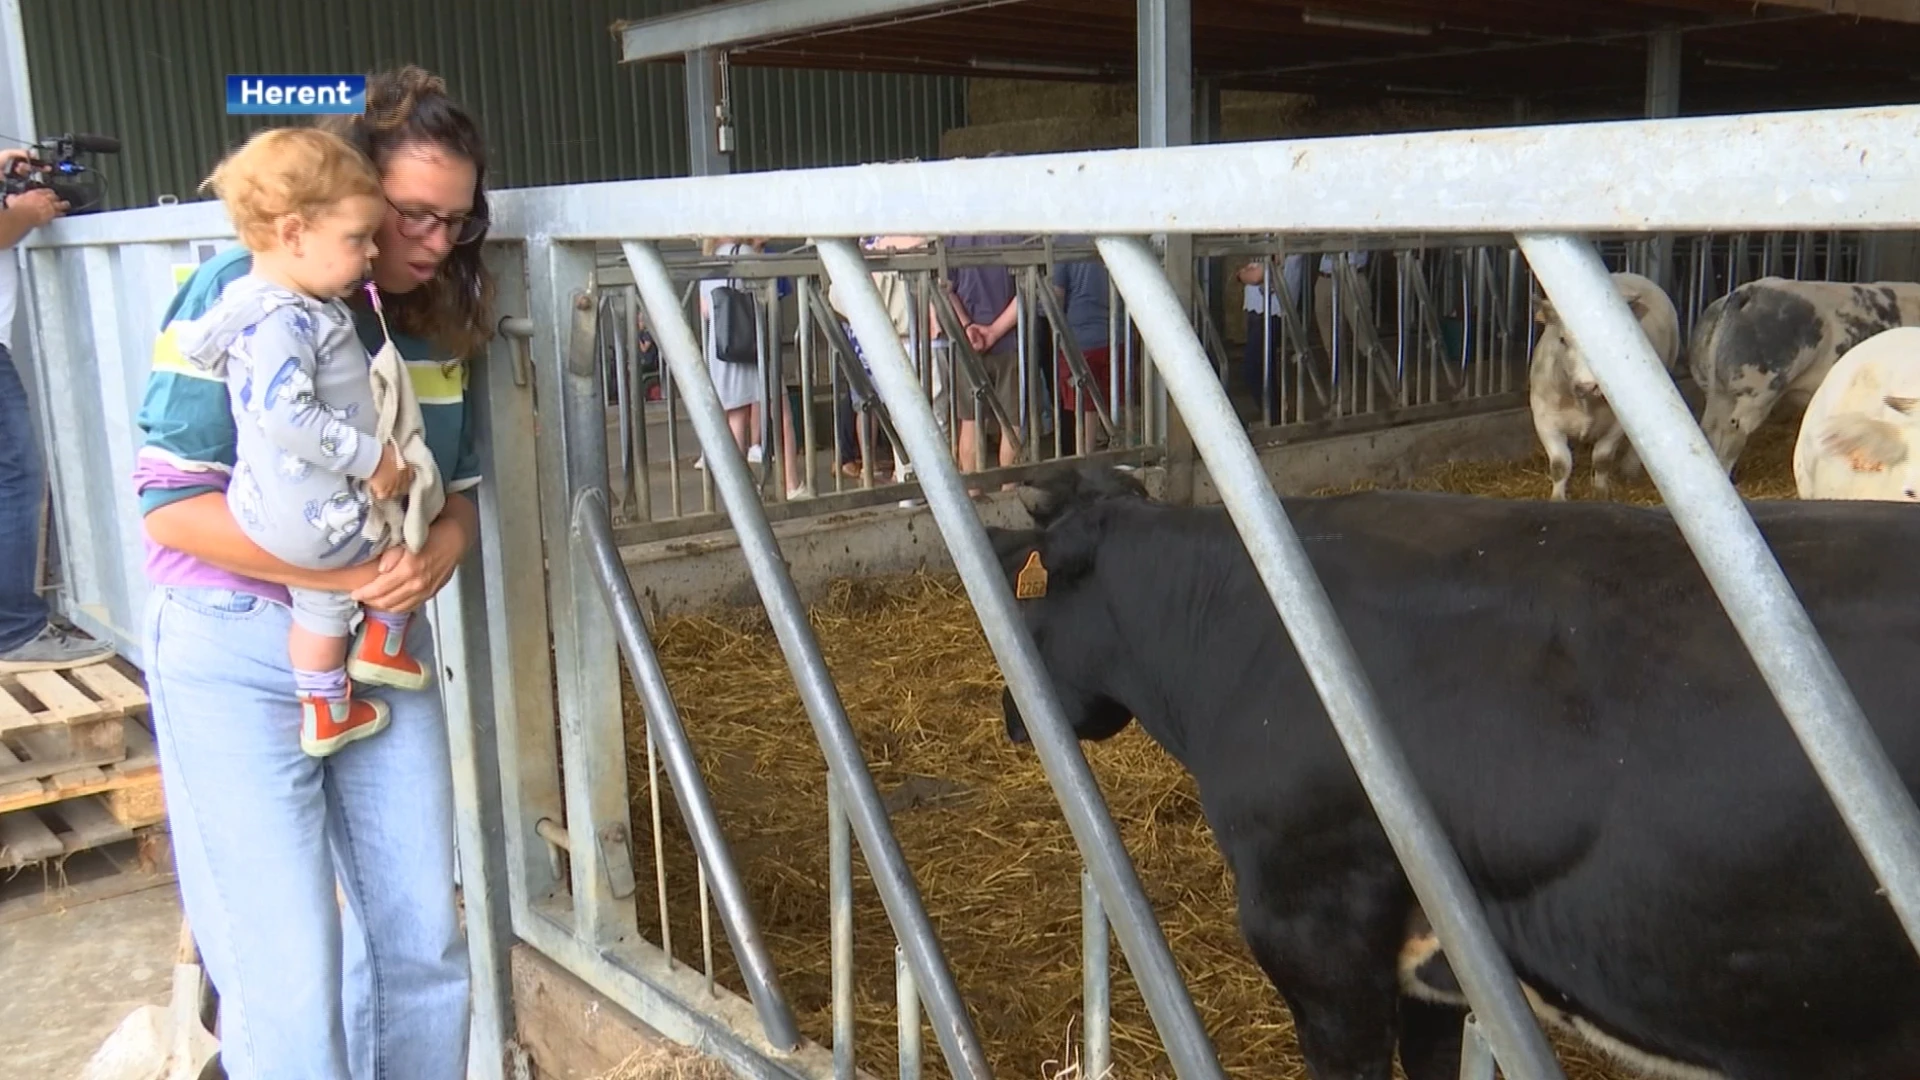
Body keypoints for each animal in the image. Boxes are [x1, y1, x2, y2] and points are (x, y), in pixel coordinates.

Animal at [1528, 272, 1681, 499]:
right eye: (1562, 340)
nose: (1588, 385)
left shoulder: (1617, 425)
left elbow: (1602, 459)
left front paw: (1601, 493)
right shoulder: (1544, 417)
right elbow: (1560, 464)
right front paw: (1558, 498)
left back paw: (1629, 469)